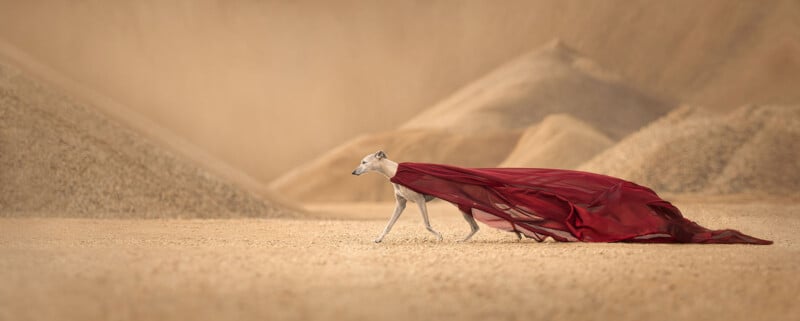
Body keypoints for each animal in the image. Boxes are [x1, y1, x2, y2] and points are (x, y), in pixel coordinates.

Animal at [348, 150, 476, 242]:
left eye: (364, 162)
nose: (353, 172)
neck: (395, 172)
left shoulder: (420, 200)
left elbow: (426, 224)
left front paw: (439, 236)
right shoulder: (400, 204)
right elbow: (389, 224)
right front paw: (379, 239)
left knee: (475, 226)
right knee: (475, 227)